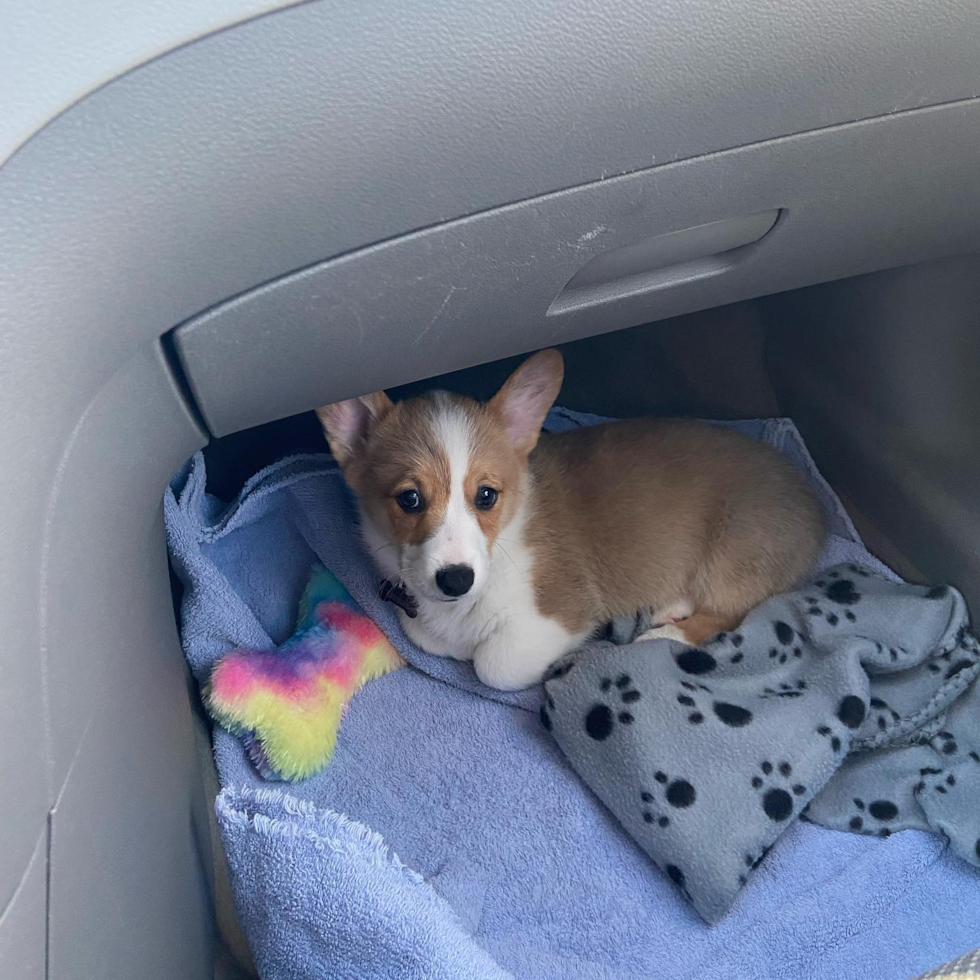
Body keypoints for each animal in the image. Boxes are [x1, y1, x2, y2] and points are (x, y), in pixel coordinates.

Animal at [318, 350, 824, 688]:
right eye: (409, 499)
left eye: (486, 495)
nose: (457, 580)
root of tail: (812, 498)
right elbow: (428, 635)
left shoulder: (562, 611)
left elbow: (494, 664)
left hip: (734, 554)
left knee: (728, 612)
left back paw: (661, 634)